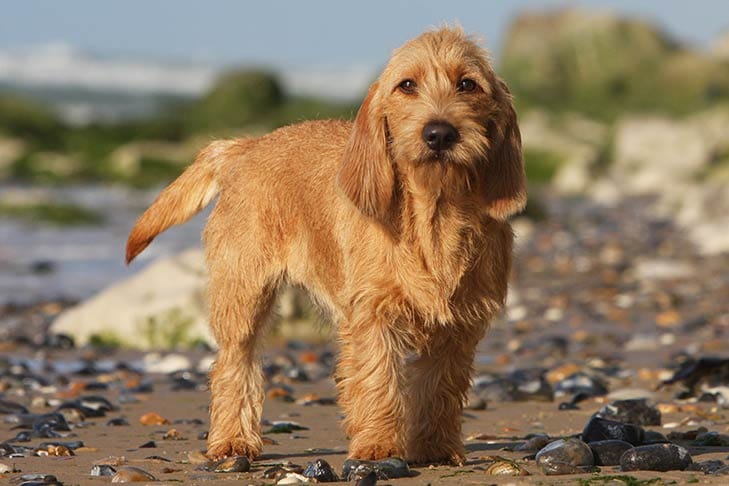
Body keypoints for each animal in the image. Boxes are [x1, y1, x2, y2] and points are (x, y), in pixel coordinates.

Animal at [125, 25, 524, 464]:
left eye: (467, 84)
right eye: (407, 85)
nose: (439, 133)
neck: (434, 215)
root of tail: (248, 146)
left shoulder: (459, 327)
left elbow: (440, 388)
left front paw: (435, 447)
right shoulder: (372, 316)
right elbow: (378, 379)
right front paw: (379, 445)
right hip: (243, 296)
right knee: (235, 364)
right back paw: (233, 440)